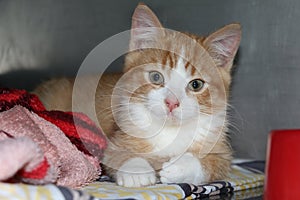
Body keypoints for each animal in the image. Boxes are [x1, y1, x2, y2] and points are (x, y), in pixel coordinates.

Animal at [34, 3, 241, 188]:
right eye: (156, 77)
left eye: (196, 84)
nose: (171, 102)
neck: (169, 131)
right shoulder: (115, 137)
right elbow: (116, 153)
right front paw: (136, 170)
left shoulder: (221, 148)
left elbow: (215, 164)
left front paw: (181, 166)